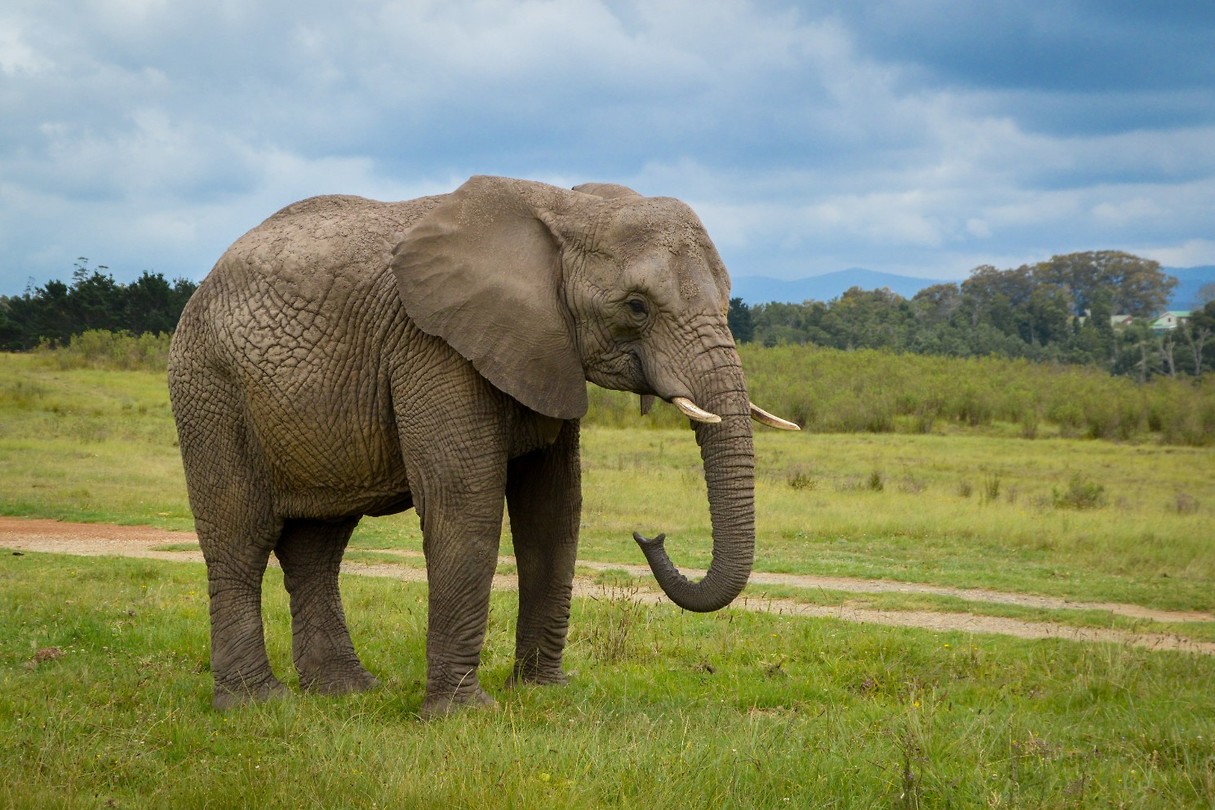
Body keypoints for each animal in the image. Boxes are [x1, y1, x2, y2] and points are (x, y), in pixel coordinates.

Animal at [167, 175, 798, 718]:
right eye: (637, 306)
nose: (651, 537)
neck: (566, 209)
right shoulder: (433, 345)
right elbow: (464, 500)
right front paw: (463, 714)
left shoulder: (546, 348)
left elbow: (554, 509)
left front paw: (542, 690)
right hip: (209, 386)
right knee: (241, 536)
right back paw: (256, 703)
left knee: (319, 543)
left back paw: (347, 692)